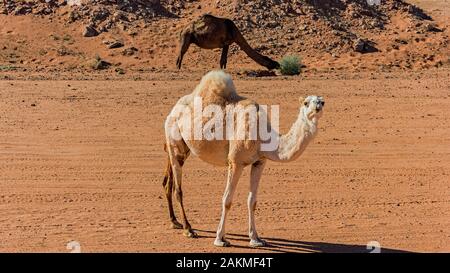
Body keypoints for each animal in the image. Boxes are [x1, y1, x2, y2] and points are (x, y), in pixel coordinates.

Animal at [162, 70, 324, 246]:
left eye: (322, 101)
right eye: (306, 103)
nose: (319, 105)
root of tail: (173, 110)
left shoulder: (259, 162)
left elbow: (252, 201)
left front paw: (255, 238)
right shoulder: (236, 162)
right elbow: (227, 200)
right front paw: (220, 239)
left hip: (181, 147)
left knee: (169, 181)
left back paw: (174, 222)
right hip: (174, 137)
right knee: (178, 188)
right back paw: (188, 229)